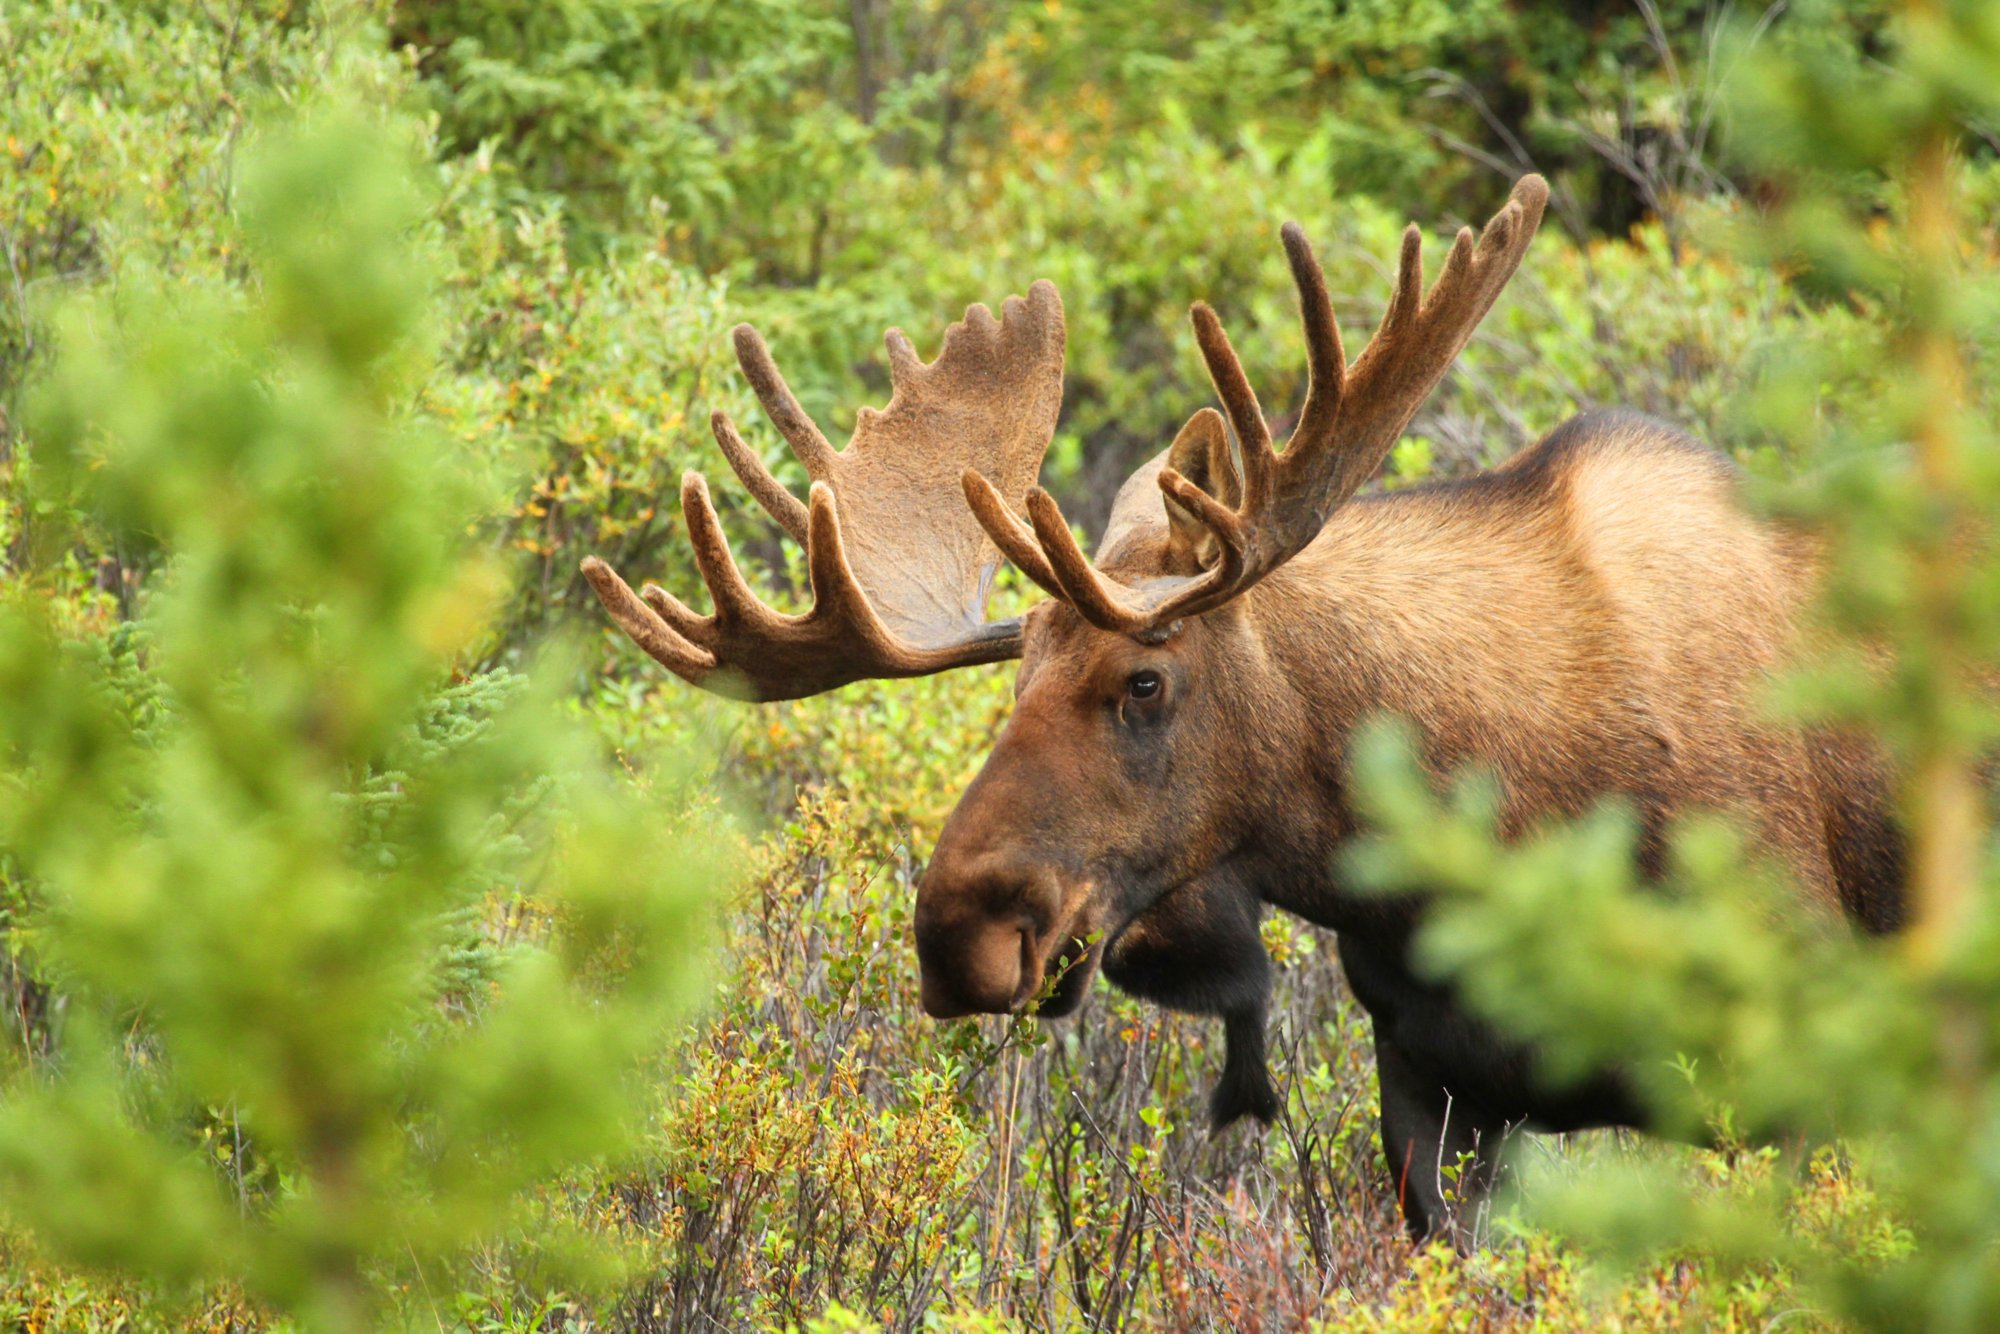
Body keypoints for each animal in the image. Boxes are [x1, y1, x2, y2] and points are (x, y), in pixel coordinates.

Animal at [584, 177, 1904, 1240]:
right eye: (1009, 686)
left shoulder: (1796, 1064)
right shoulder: (1433, 1088)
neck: (1481, 823)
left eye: (1144, 680)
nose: (957, 930)